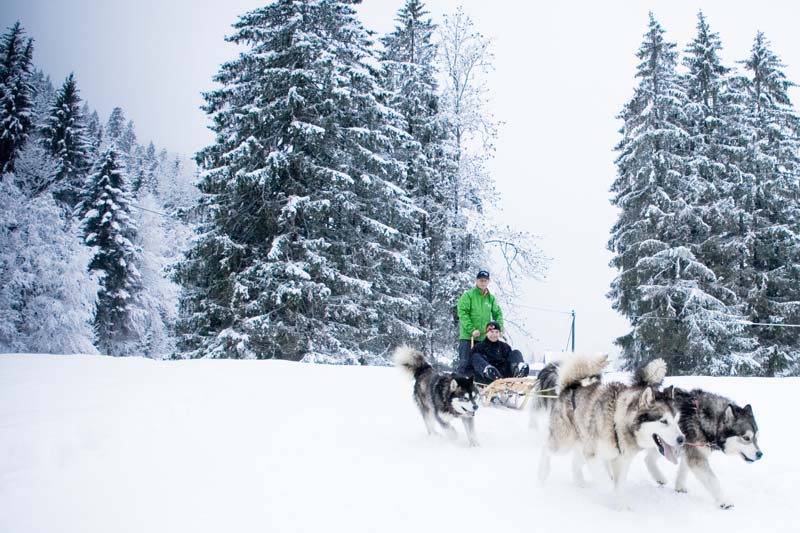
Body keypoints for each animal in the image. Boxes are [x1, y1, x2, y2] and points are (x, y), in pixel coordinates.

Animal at [537, 353, 684, 509]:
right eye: (663, 421)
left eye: (676, 420)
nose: (682, 439)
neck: (617, 422)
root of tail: (570, 386)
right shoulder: (593, 456)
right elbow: (607, 482)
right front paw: (610, 494)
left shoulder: (621, 461)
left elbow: (619, 485)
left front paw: (621, 507)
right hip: (564, 443)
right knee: (546, 448)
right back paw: (542, 474)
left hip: (582, 445)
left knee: (575, 462)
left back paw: (579, 482)